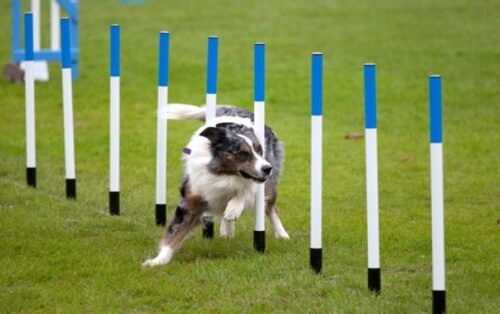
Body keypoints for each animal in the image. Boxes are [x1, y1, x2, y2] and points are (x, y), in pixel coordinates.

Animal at [142, 104, 290, 266]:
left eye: (260, 151)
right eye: (243, 153)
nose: (268, 168)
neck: (223, 174)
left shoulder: (257, 182)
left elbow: (245, 191)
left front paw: (234, 208)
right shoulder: (191, 200)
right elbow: (175, 233)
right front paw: (158, 261)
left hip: (270, 185)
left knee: (271, 208)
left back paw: (281, 234)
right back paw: (227, 231)